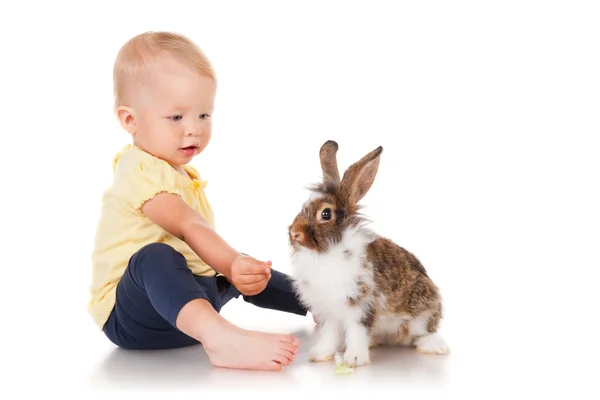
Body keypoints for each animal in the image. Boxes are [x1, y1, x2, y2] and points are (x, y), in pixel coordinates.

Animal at [288, 141, 448, 368]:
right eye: (303, 206)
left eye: (326, 214)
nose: (294, 234)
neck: (328, 253)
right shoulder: (330, 312)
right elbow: (329, 335)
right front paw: (320, 354)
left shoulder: (361, 305)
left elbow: (358, 331)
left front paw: (354, 359)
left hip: (423, 313)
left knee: (424, 332)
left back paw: (434, 347)